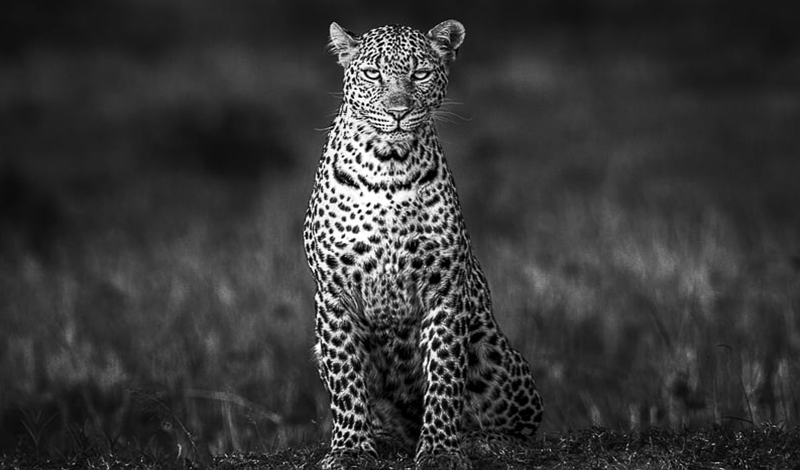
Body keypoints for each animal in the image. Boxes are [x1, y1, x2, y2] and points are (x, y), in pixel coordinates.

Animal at [303, 20, 544, 469]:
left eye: (420, 74)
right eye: (372, 74)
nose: (397, 111)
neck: (387, 164)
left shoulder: (444, 289)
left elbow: (445, 375)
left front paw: (440, 449)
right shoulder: (333, 293)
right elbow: (346, 379)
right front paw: (350, 449)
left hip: (491, 347)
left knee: (524, 424)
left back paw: (482, 441)